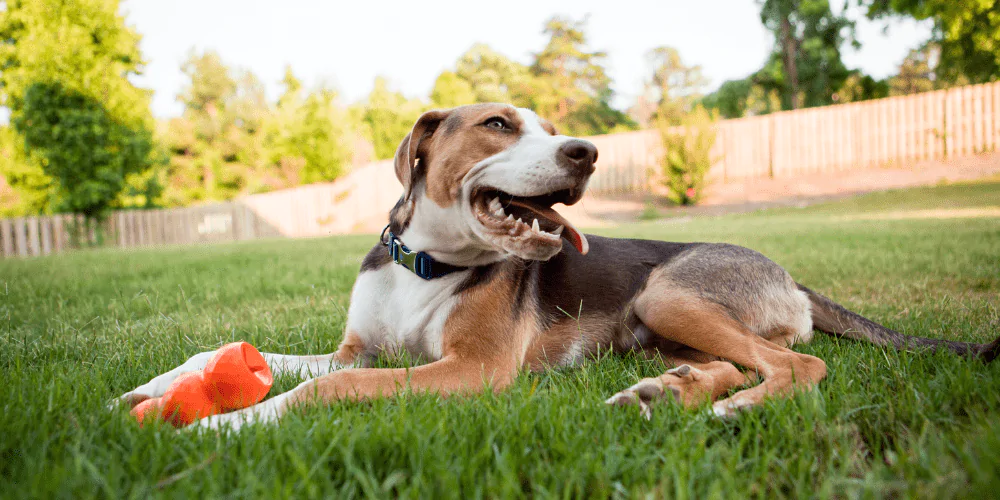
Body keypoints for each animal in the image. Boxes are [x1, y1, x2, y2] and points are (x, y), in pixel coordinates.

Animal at [119, 102, 1000, 430]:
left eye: (550, 128)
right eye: (499, 124)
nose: (588, 152)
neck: (427, 266)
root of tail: (788, 273)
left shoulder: (469, 371)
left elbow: (319, 390)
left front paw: (225, 422)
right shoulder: (358, 350)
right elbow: (242, 352)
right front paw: (161, 387)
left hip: (670, 290)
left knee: (798, 364)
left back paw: (734, 409)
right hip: (661, 325)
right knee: (737, 360)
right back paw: (666, 392)